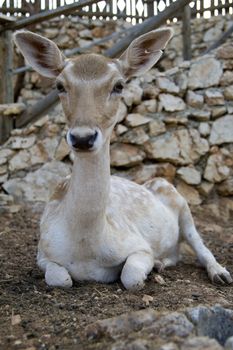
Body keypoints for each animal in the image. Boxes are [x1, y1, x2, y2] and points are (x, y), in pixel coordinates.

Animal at [13, 28, 232, 290]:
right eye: (59, 85)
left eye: (119, 85)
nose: (83, 137)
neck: (86, 248)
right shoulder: (43, 252)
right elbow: (60, 279)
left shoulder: (139, 245)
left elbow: (131, 277)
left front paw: (145, 270)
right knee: (176, 254)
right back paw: (162, 263)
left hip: (182, 205)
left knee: (200, 245)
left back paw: (219, 273)